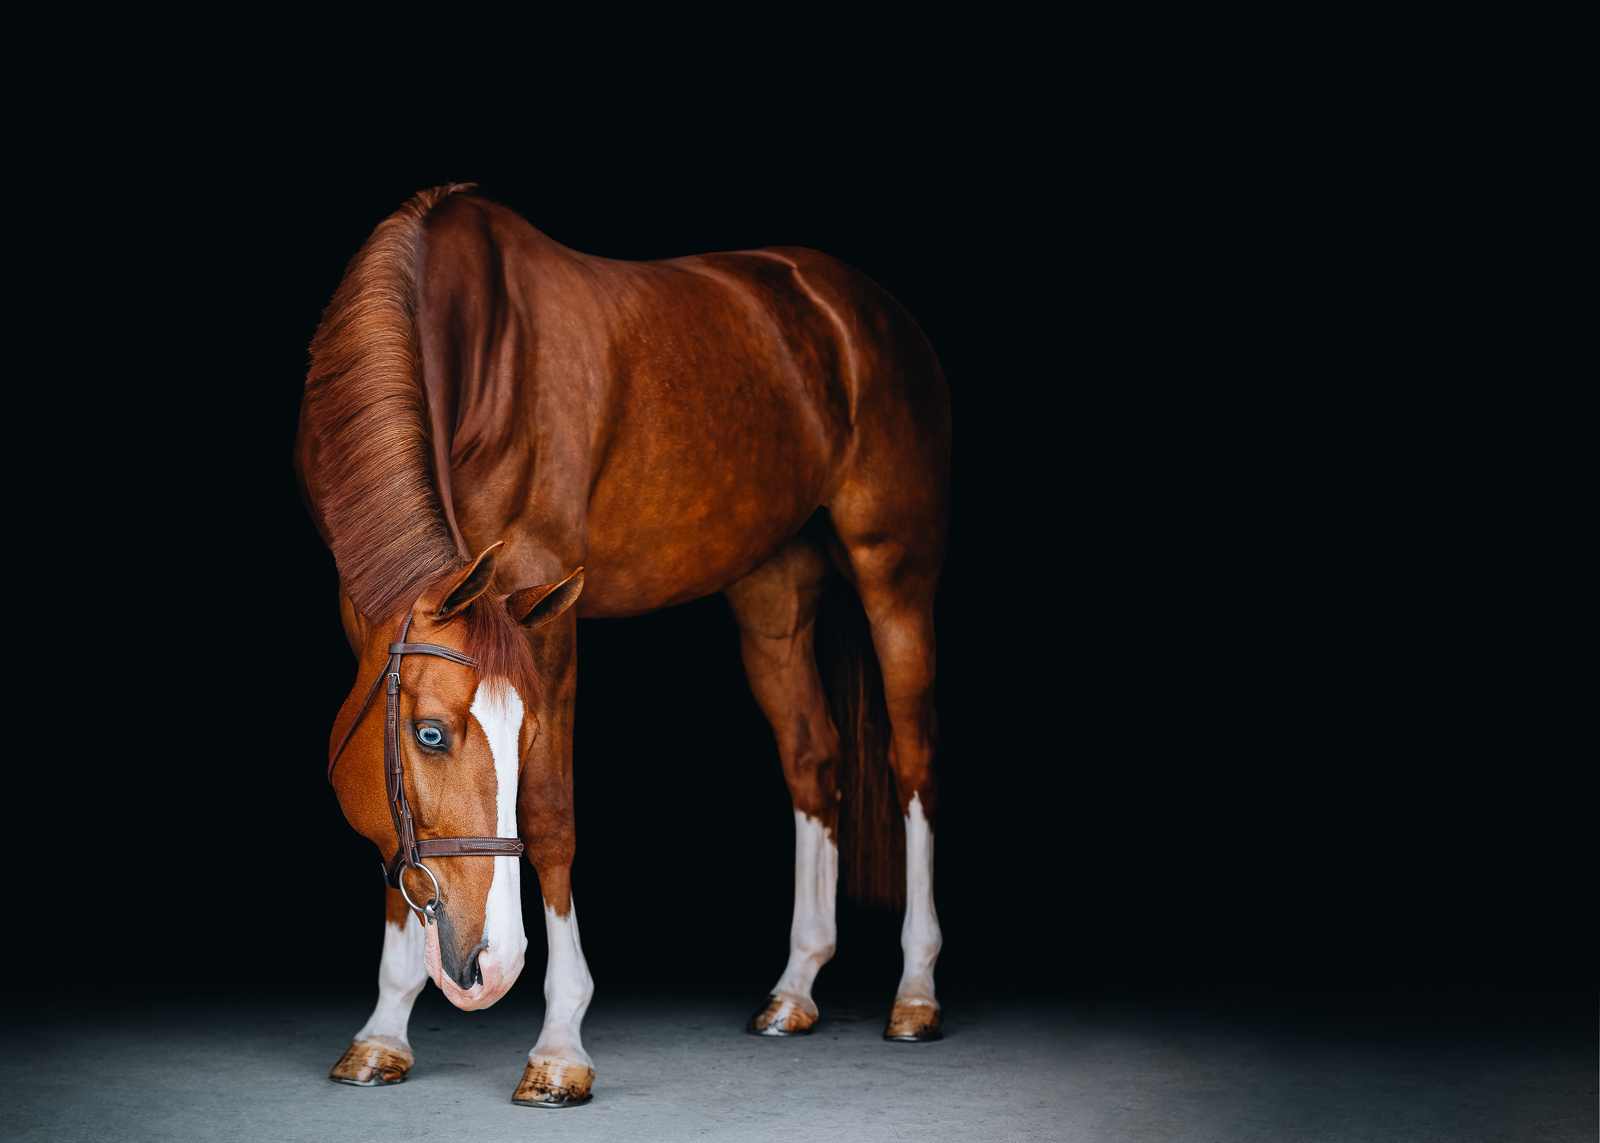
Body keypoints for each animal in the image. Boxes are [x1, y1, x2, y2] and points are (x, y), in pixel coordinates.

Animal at [297, 182, 947, 1101]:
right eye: (428, 734)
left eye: (527, 734)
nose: (492, 965)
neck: (473, 345)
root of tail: (862, 307)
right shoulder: (370, 609)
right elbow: (395, 825)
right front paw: (384, 1030)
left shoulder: (546, 601)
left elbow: (551, 813)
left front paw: (559, 1043)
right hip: (773, 592)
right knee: (812, 760)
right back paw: (795, 987)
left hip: (895, 573)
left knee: (911, 760)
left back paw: (916, 991)